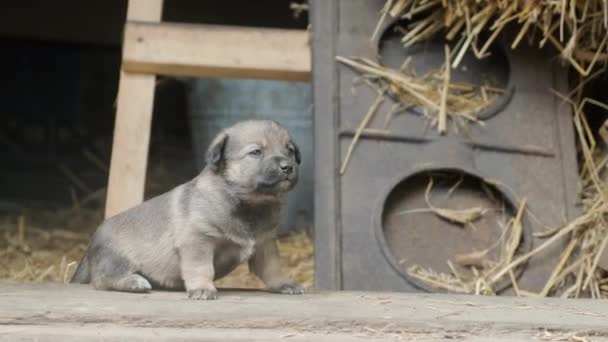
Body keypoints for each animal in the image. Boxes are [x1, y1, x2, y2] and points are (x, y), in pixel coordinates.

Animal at [70, 119, 304, 300]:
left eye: (289, 150)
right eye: (256, 152)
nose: (288, 167)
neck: (247, 202)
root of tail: (91, 245)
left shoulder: (265, 243)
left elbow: (272, 268)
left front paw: (284, 284)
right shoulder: (198, 241)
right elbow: (202, 267)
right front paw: (202, 288)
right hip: (117, 259)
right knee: (103, 279)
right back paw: (134, 282)